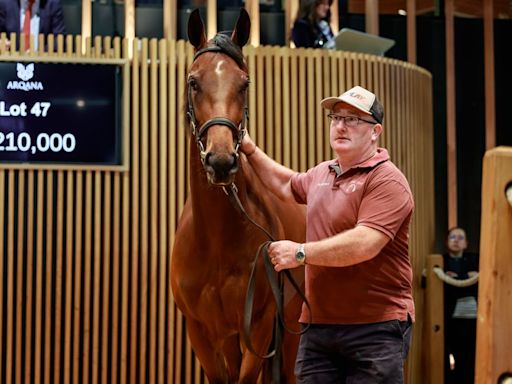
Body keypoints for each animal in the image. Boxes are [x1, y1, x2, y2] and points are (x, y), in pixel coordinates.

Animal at [172, 7, 306, 382]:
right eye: (193, 82)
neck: (217, 240)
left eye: (244, 84)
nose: (220, 161)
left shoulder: (258, 327)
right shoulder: (202, 331)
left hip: (289, 331)